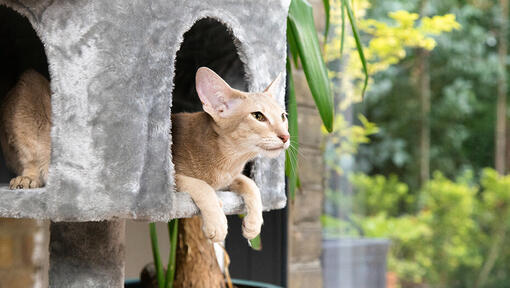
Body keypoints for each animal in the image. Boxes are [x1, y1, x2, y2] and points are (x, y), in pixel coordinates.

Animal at [173, 67, 288, 241]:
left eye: (283, 116)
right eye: (258, 116)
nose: (286, 136)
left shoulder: (229, 178)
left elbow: (251, 184)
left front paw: (253, 223)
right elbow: (202, 185)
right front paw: (217, 223)